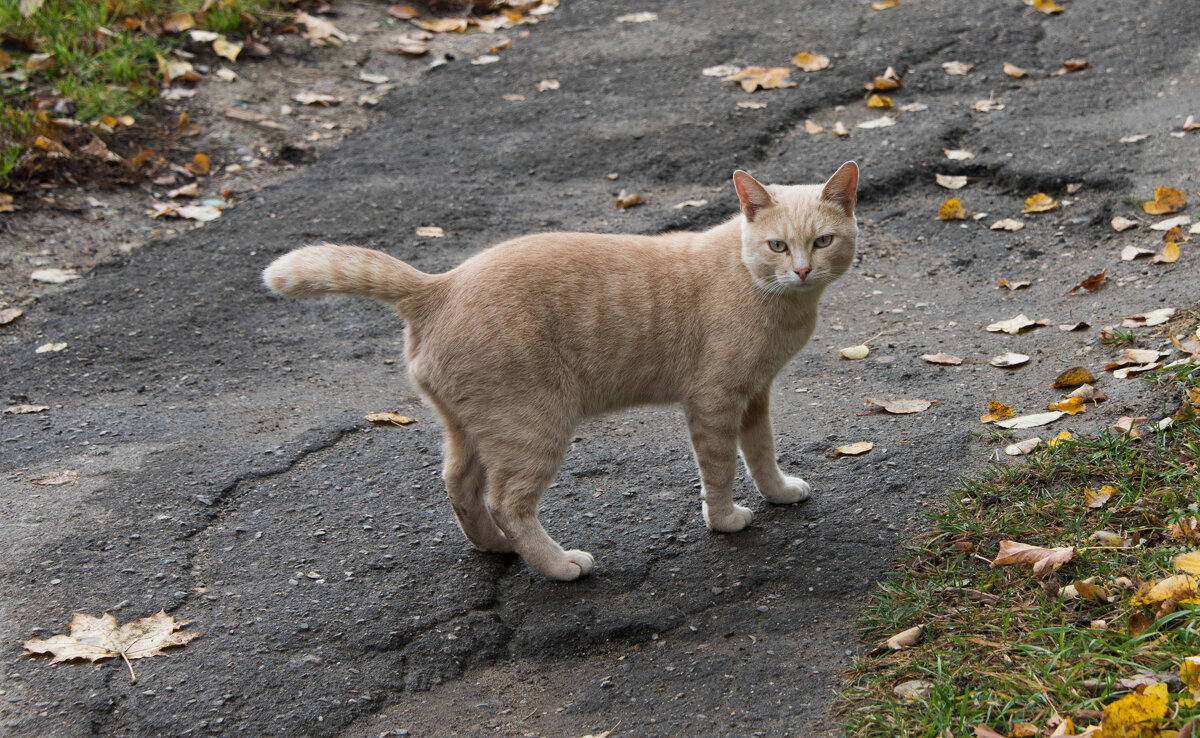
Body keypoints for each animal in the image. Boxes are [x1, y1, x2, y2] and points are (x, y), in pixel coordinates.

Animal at [266, 163, 859, 583]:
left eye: (822, 242)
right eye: (778, 245)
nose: (801, 270)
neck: (774, 298)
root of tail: (440, 284)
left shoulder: (756, 394)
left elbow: (760, 451)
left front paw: (777, 491)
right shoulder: (715, 400)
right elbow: (720, 468)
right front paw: (725, 519)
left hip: (474, 429)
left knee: (460, 485)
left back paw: (493, 546)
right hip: (534, 425)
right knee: (507, 502)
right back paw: (557, 565)